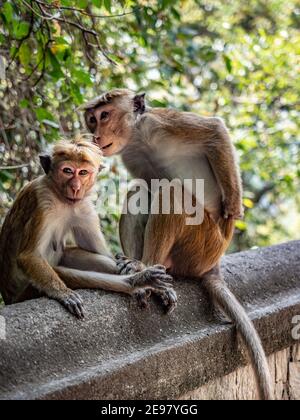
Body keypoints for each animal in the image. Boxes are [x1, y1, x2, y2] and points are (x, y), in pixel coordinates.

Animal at [0, 138, 177, 318]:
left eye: (83, 172)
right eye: (67, 171)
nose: (76, 187)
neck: (62, 198)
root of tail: (8, 298)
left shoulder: (83, 207)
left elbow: (100, 252)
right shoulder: (42, 200)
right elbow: (29, 256)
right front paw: (63, 293)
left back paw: (141, 277)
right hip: (26, 292)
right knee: (60, 271)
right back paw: (138, 281)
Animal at [82, 89, 274, 400]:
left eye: (104, 115)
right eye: (91, 119)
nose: (95, 135)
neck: (138, 136)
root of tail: (213, 265)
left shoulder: (162, 123)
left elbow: (215, 131)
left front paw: (234, 206)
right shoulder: (130, 153)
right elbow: (146, 184)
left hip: (202, 246)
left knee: (172, 192)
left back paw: (148, 273)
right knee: (143, 189)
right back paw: (139, 271)